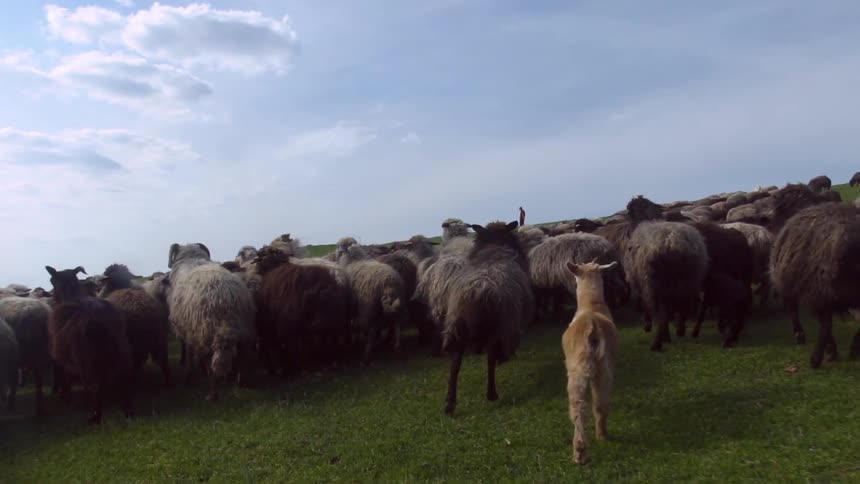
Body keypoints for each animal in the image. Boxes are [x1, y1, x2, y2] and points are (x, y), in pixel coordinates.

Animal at [46, 266, 133, 424]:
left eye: (52, 280)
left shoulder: (65, 359)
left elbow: (67, 379)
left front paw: (67, 397)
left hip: (86, 355)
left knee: (96, 384)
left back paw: (95, 416)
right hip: (121, 347)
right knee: (123, 376)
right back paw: (127, 410)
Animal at [167, 243, 257, 400]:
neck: (191, 258)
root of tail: (224, 296)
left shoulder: (188, 332)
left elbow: (188, 355)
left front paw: (188, 377)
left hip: (205, 333)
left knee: (211, 366)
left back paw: (212, 394)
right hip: (244, 330)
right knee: (243, 356)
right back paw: (241, 382)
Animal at [442, 221, 534, 416]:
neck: (494, 247)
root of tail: (478, 291)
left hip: (457, 326)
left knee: (455, 363)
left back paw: (450, 404)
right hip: (499, 326)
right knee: (491, 357)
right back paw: (492, 393)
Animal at [562, 261, 619, 465]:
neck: (591, 305)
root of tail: (592, 325)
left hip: (578, 370)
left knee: (579, 406)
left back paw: (581, 450)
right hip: (603, 370)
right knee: (600, 402)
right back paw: (598, 438)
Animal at [770, 202, 860, 367]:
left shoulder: (799, 288)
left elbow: (796, 312)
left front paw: (800, 336)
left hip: (821, 288)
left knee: (824, 324)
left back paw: (818, 358)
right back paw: (847, 350)